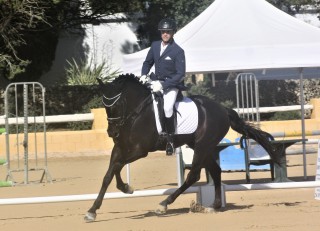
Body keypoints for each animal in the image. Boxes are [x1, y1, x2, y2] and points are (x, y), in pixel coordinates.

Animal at [83, 74, 280, 222]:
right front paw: (93, 209)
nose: (112, 132)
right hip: (203, 147)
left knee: (194, 175)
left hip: (202, 146)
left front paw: (126, 188)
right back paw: (214, 206)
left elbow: (116, 167)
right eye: (104, 106)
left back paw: (164, 204)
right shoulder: (120, 148)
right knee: (215, 171)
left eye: (117, 104)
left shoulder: (140, 150)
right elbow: (109, 174)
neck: (136, 114)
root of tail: (223, 109)